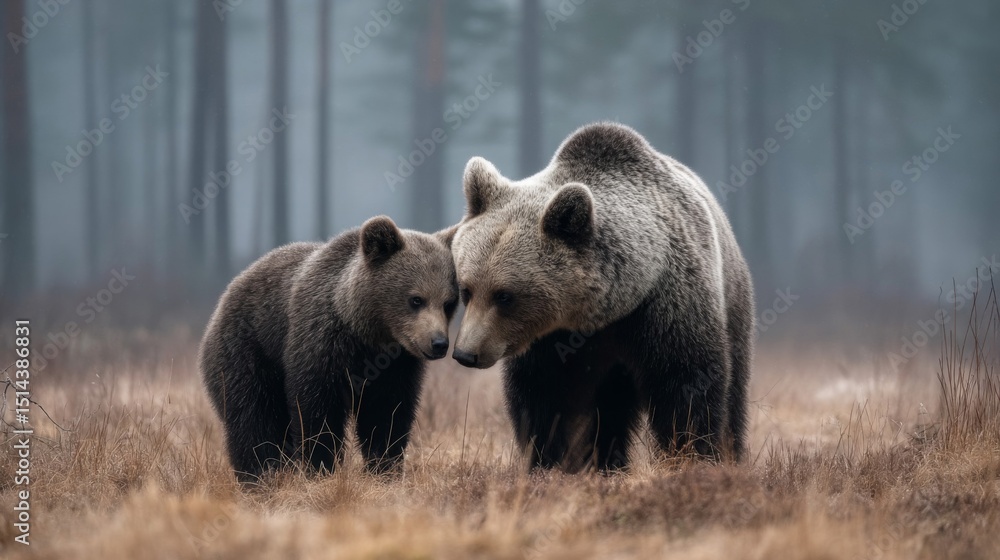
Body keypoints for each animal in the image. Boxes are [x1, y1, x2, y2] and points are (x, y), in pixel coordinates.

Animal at [200, 216, 458, 481]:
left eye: (449, 303)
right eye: (416, 299)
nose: (438, 343)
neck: (366, 334)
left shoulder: (397, 367)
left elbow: (387, 414)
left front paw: (385, 468)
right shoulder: (320, 344)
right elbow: (317, 410)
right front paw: (322, 467)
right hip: (248, 352)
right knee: (253, 418)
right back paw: (260, 475)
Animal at [449, 122, 755, 471]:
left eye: (504, 296)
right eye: (467, 289)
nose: (466, 354)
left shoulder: (667, 306)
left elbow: (686, 385)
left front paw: (691, 455)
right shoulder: (552, 342)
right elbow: (546, 399)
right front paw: (554, 461)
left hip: (733, 303)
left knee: (733, 389)